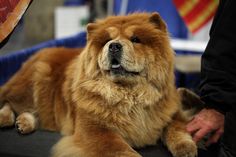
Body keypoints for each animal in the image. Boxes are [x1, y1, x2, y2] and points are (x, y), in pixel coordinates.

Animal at [0, 12, 197, 157]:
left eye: (135, 39)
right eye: (106, 41)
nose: (114, 46)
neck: (129, 95)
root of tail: (37, 54)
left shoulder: (169, 113)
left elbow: (177, 128)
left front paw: (186, 148)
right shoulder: (94, 129)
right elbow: (119, 148)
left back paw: (24, 123)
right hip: (32, 84)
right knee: (9, 101)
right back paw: (7, 118)